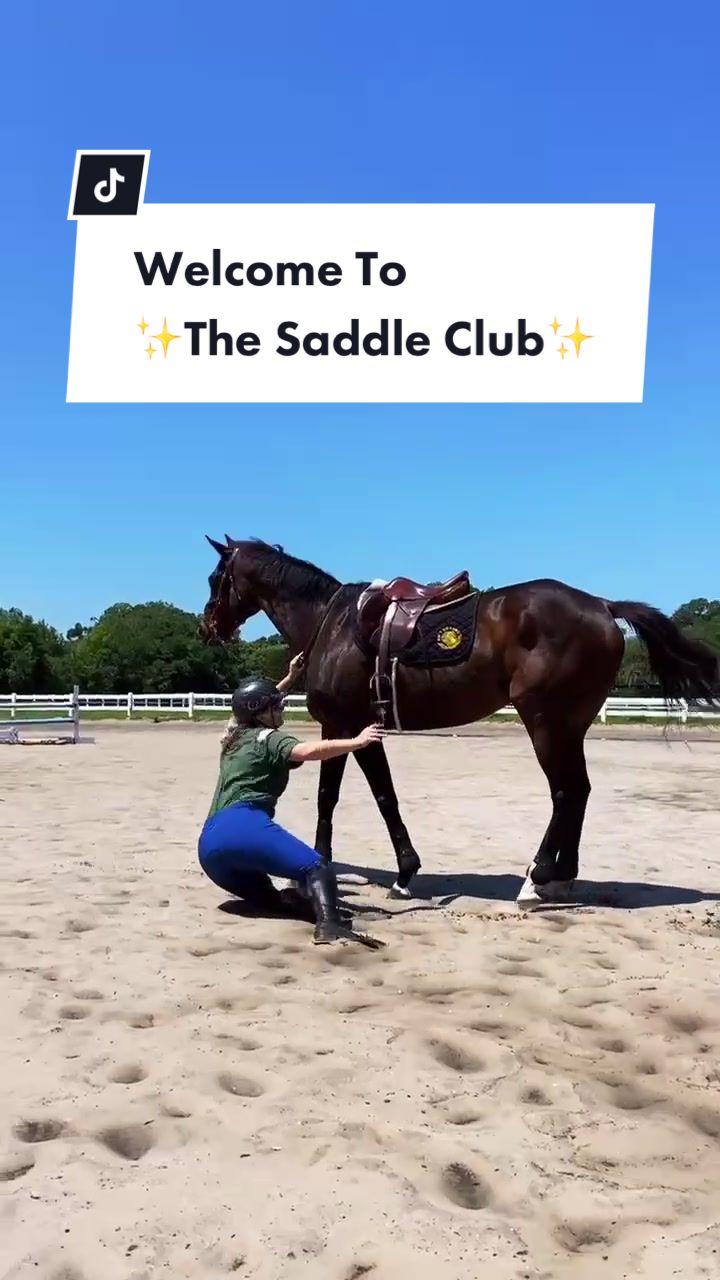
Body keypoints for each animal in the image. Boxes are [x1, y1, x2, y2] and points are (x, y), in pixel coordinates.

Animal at [199, 537, 719, 905]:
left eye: (215, 577)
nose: (207, 627)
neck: (334, 623)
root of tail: (602, 605)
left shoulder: (340, 727)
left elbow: (330, 797)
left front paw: (325, 865)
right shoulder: (364, 732)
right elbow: (385, 797)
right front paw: (406, 873)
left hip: (545, 721)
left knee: (565, 791)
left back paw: (537, 879)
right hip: (570, 725)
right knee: (579, 791)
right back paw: (560, 877)